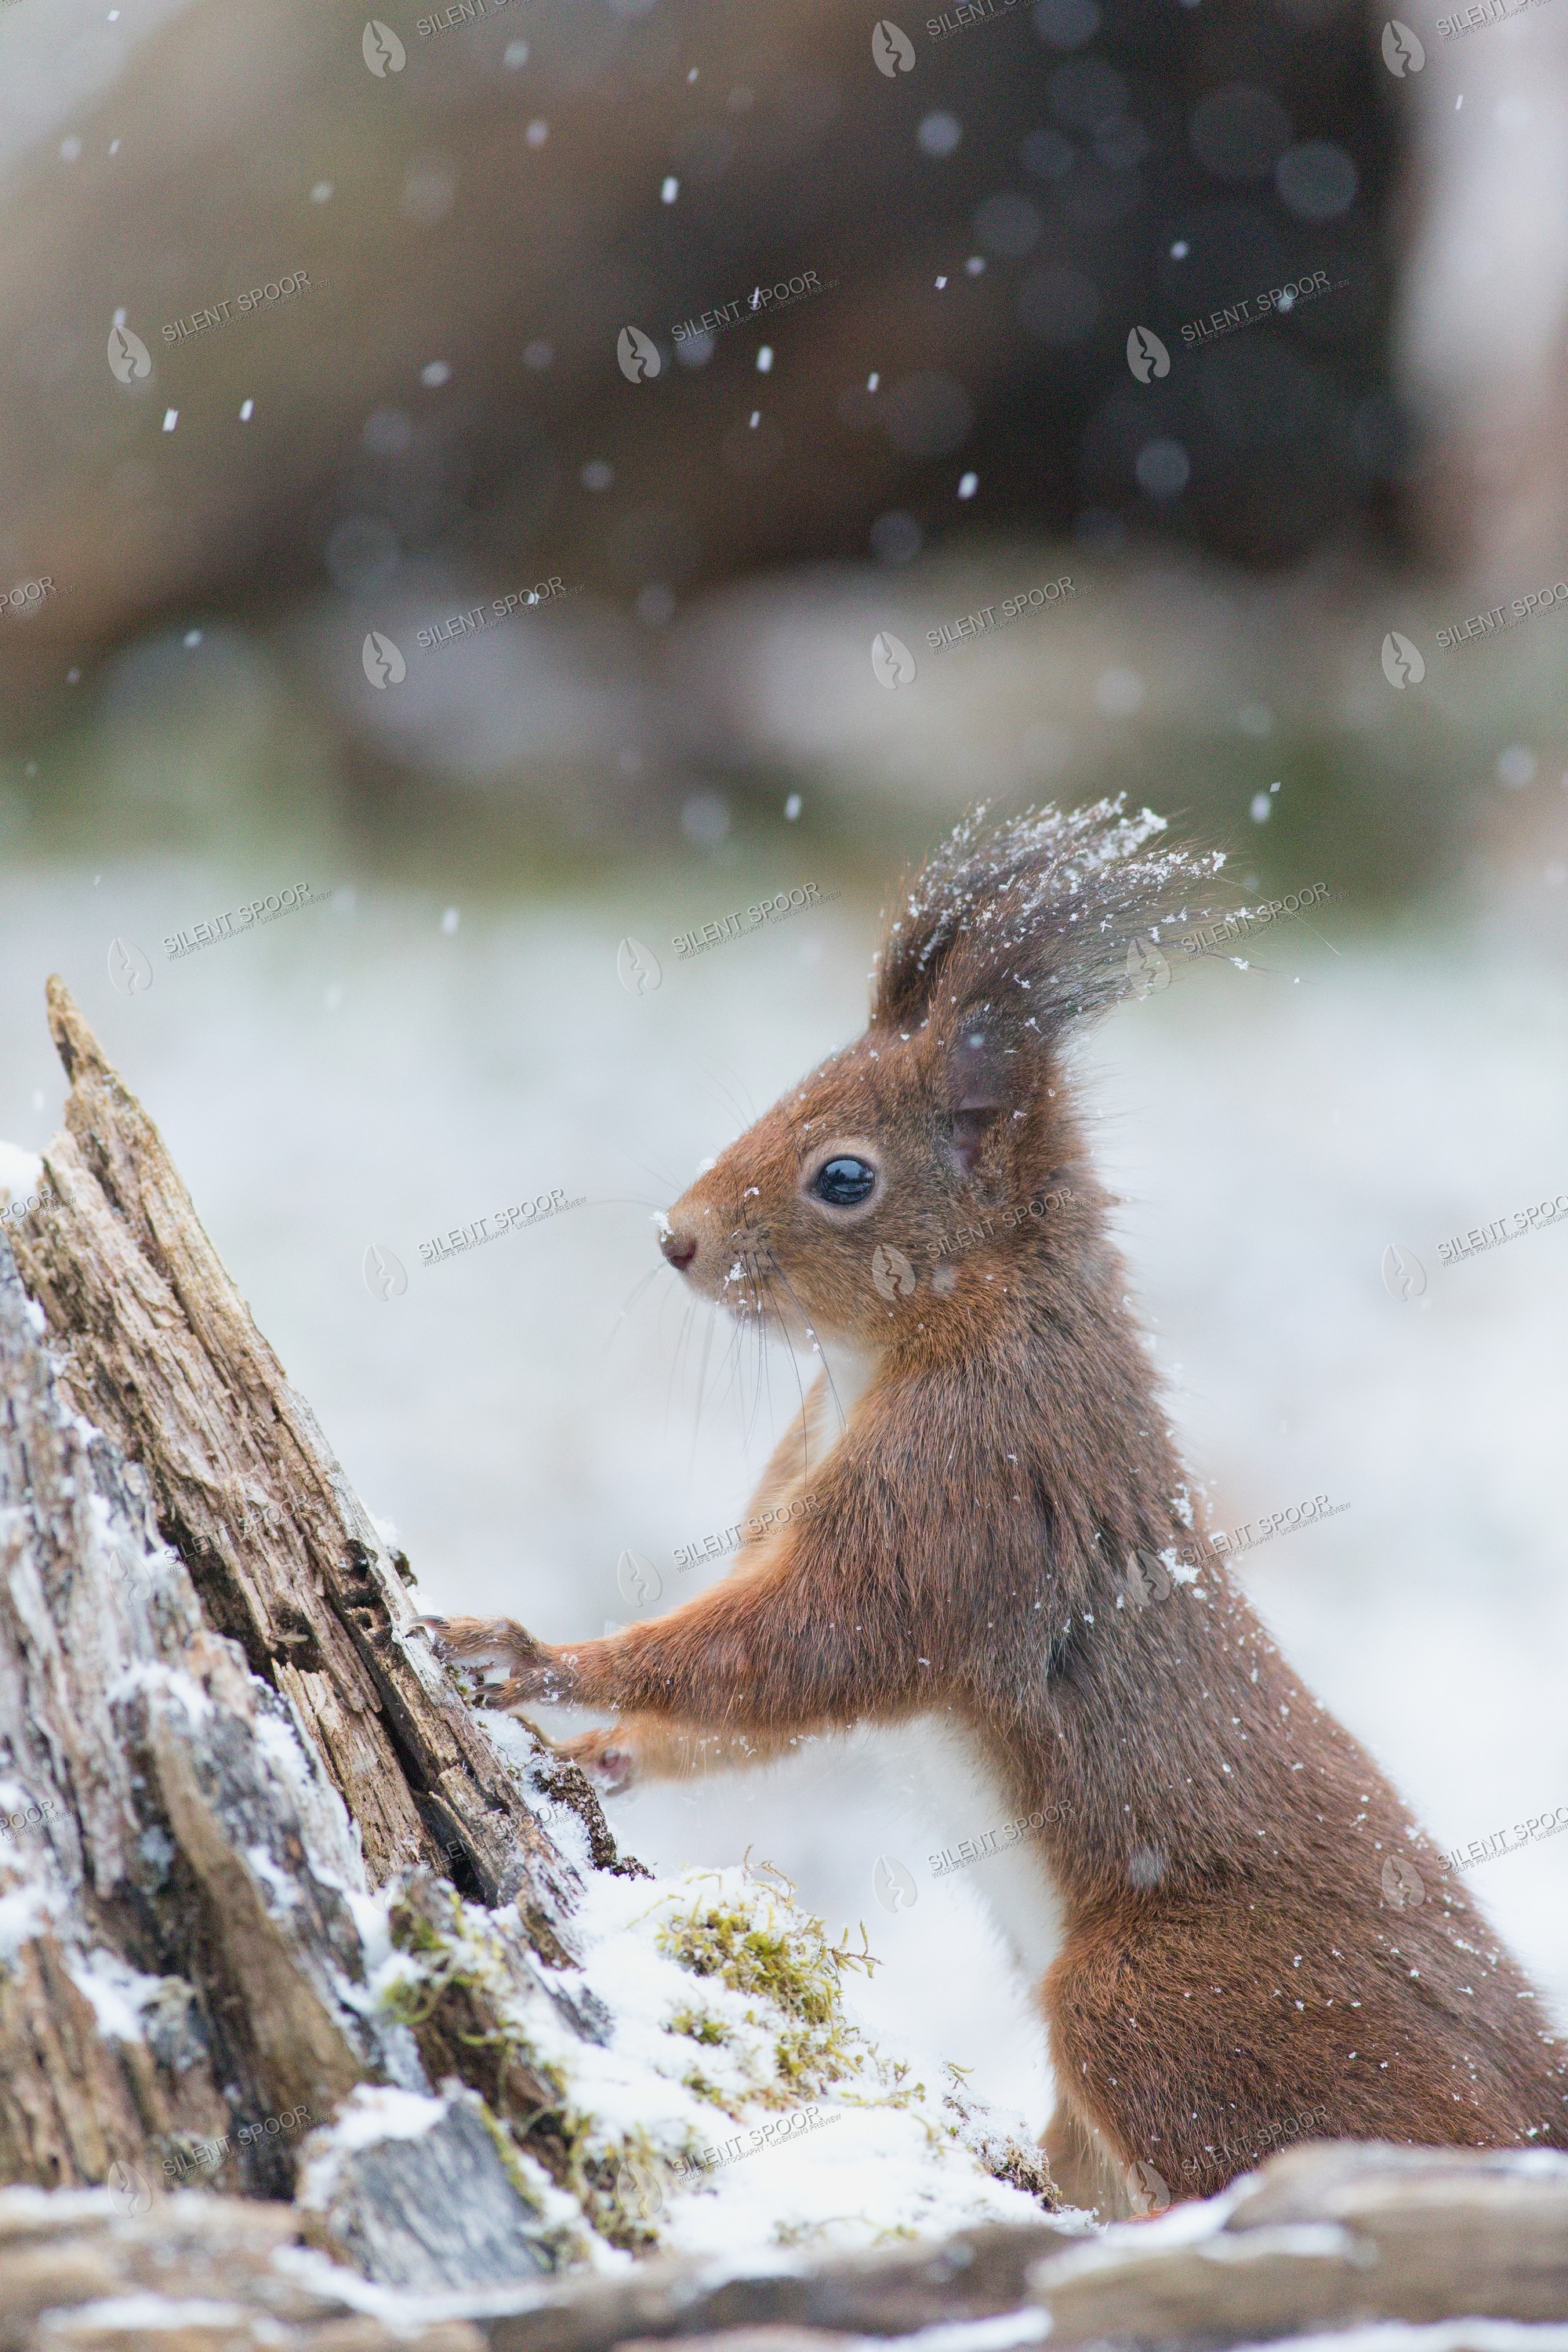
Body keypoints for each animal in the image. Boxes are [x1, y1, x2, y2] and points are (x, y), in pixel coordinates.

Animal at [427, 798, 1568, 2214]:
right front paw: (601, 1755)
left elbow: (807, 1645)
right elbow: (759, 1702)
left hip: (1182, 2002)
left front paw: (535, 1659)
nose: (674, 1241)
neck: (892, 1356)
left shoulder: (963, 1492)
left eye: (843, 1177)